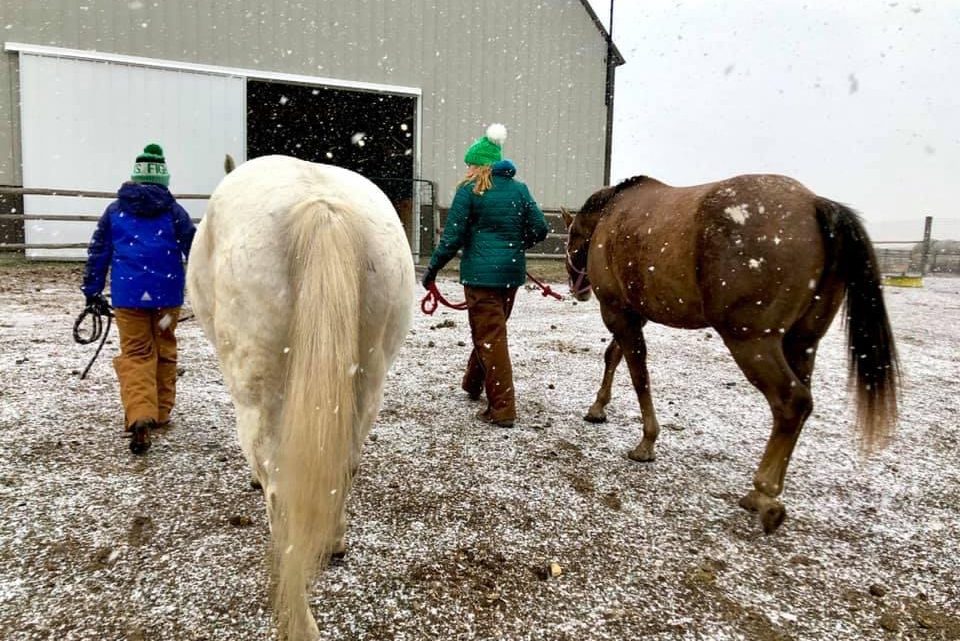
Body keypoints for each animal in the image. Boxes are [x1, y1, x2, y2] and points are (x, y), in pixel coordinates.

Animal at [187, 155, 412, 640]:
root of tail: (320, 205)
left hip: (259, 396)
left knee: (278, 490)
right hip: (368, 382)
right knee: (346, 462)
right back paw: (336, 541)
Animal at [564, 172, 900, 532]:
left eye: (571, 242)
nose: (576, 290)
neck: (611, 215)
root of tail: (814, 203)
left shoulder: (618, 313)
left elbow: (639, 375)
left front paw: (646, 442)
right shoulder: (632, 314)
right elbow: (615, 357)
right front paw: (598, 407)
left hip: (751, 342)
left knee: (791, 402)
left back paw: (763, 492)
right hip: (802, 342)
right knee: (801, 404)